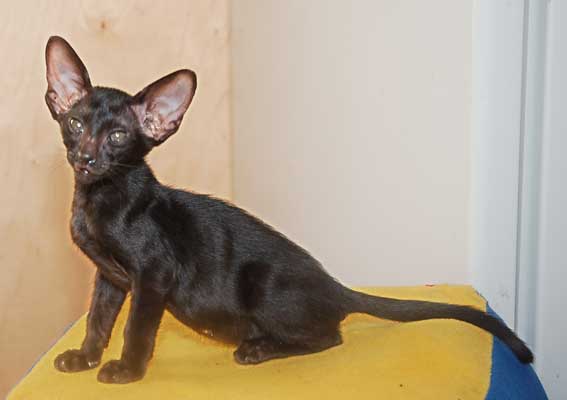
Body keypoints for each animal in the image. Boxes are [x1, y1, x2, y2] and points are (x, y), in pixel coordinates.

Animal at [45, 37, 532, 384]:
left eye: (118, 137)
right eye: (75, 124)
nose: (86, 159)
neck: (98, 198)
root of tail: (335, 286)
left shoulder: (153, 275)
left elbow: (137, 329)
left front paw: (127, 371)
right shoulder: (110, 276)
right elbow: (98, 319)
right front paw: (86, 358)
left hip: (263, 286)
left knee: (331, 335)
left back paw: (258, 348)